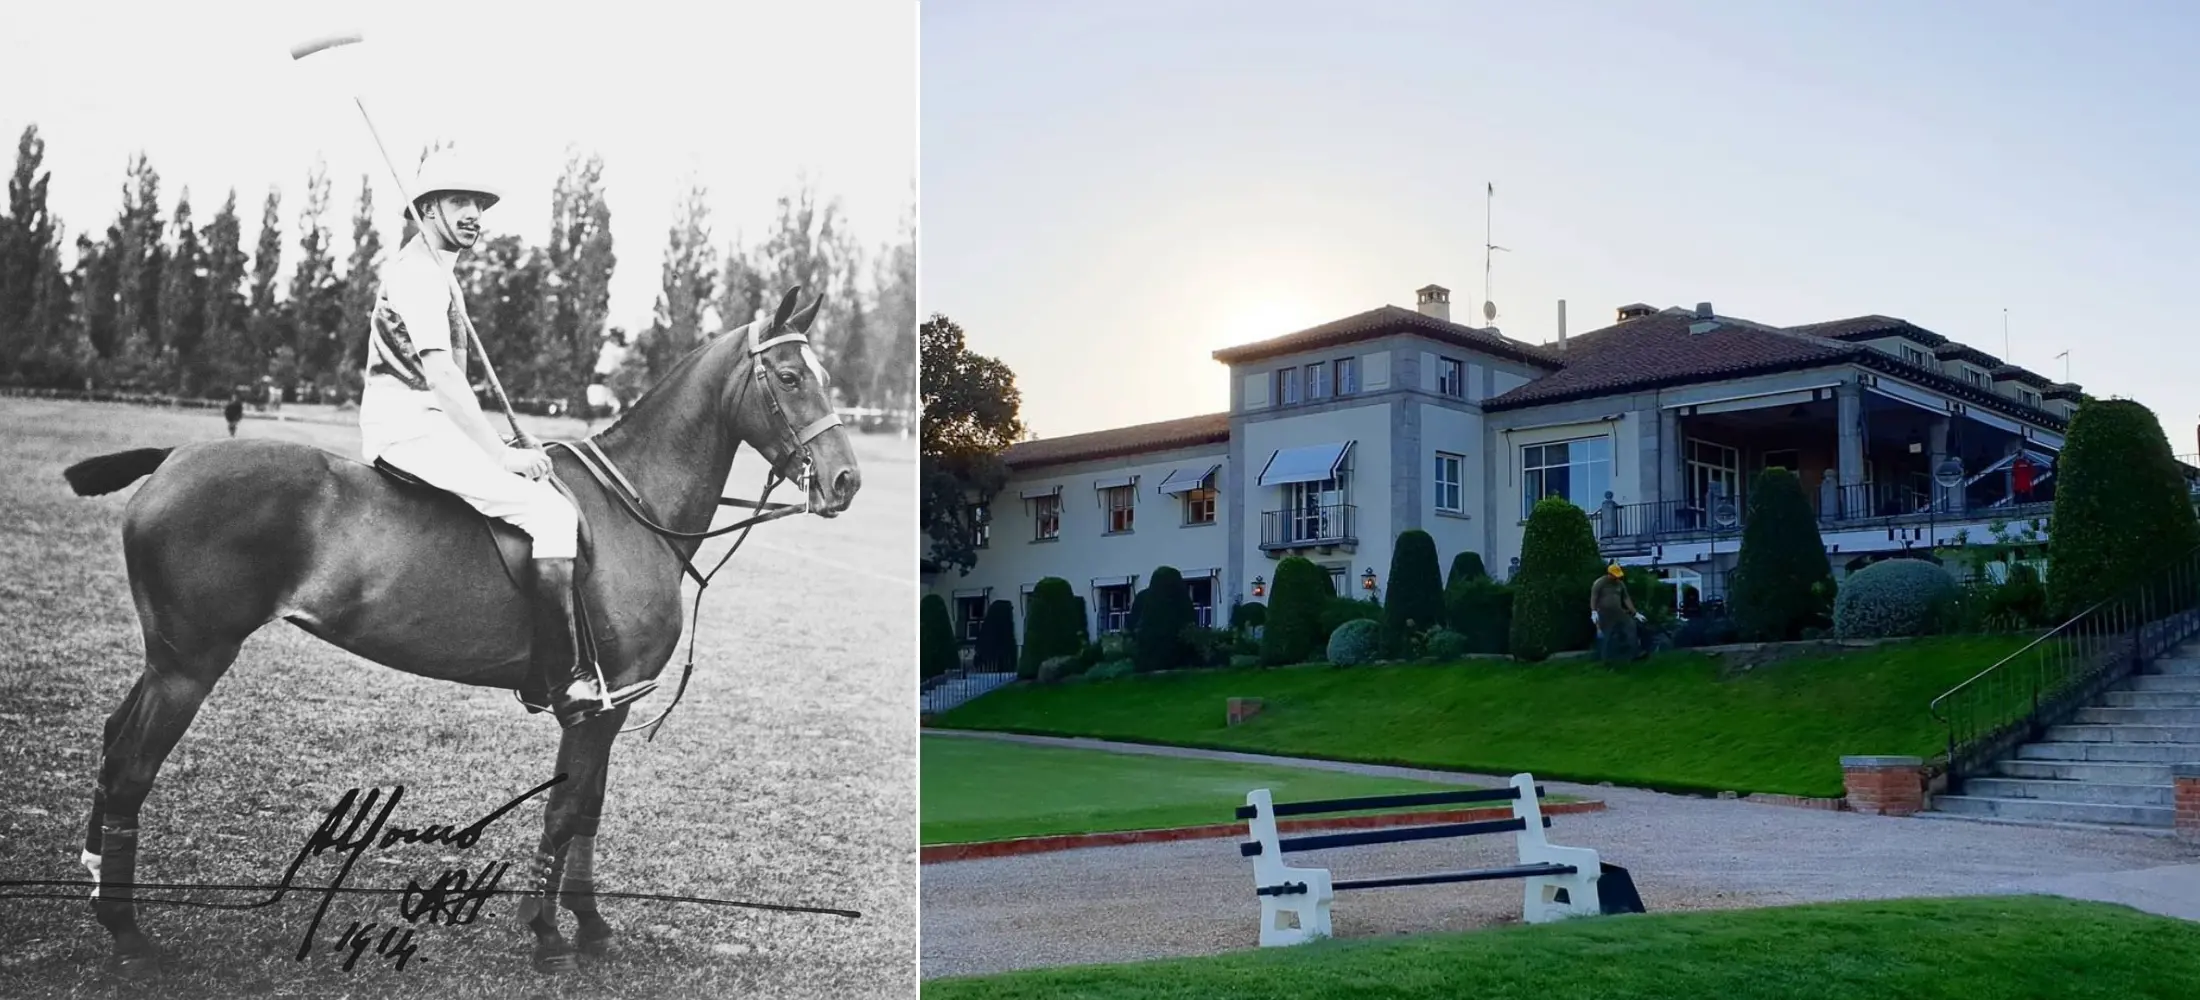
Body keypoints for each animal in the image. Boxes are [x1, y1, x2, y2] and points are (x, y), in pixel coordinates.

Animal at [51, 285, 858, 984]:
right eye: (791, 376)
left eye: (828, 375)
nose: (846, 481)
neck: (638, 506)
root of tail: (172, 457)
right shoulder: (598, 700)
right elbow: (566, 809)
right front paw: (546, 933)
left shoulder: (616, 700)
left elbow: (590, 808)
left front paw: (589, 924)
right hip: (194, 660)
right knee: (132, 765)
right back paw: (129, 935)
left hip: (167, 656)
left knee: (113, 740)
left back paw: (96, 888)